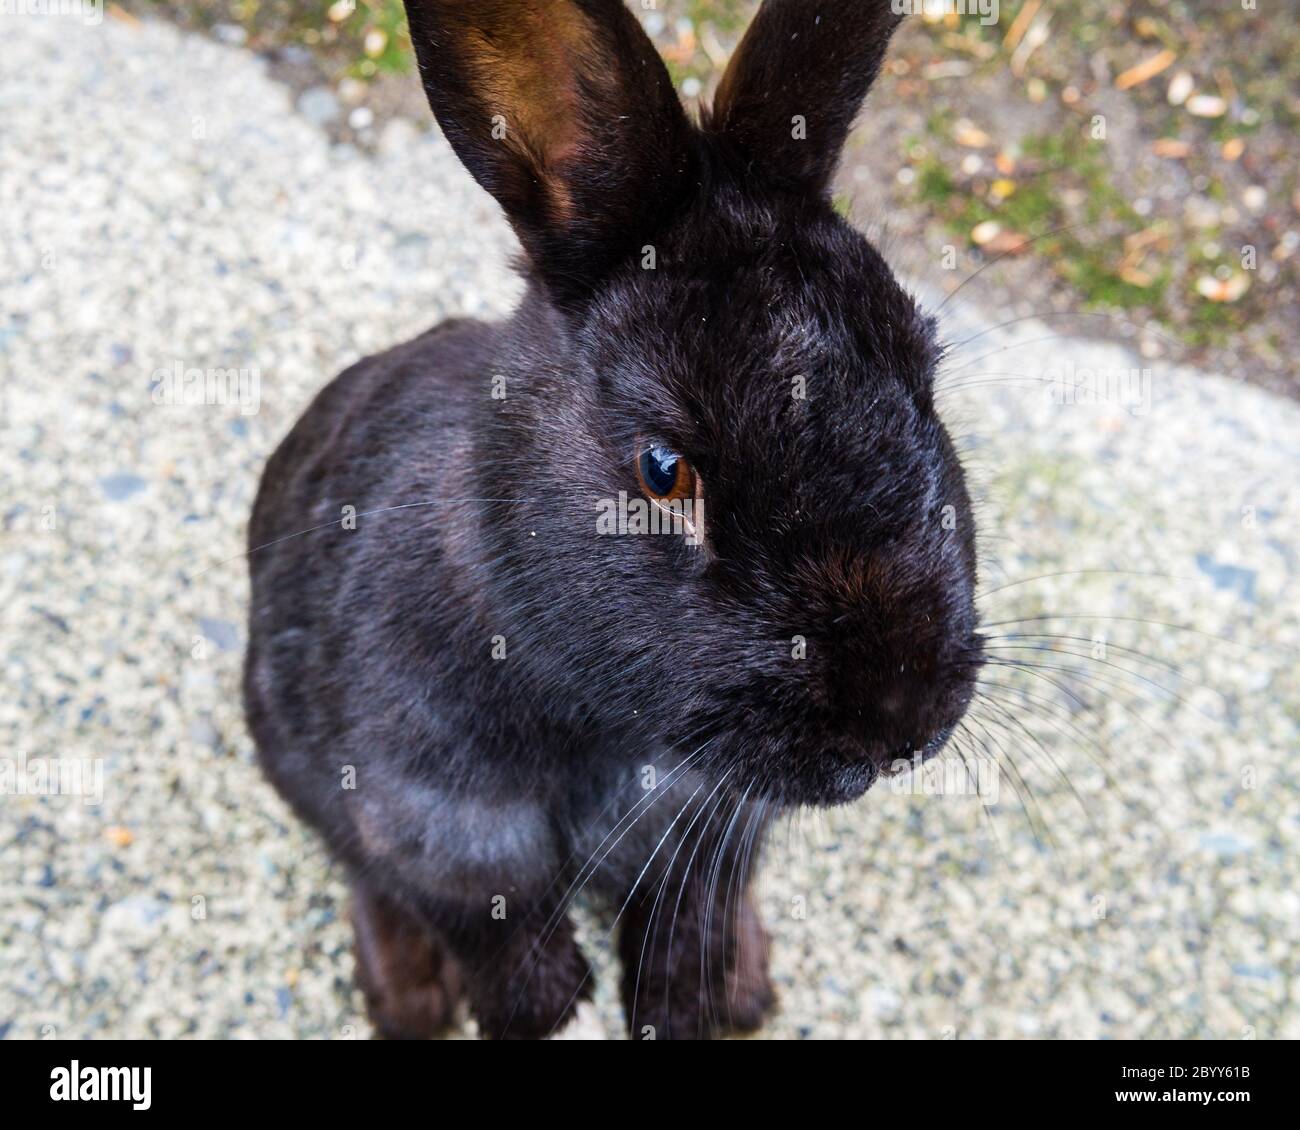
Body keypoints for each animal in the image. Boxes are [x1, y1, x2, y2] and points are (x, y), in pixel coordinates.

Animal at [244, 0, 977, 1040]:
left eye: (927, 378)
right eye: (663, 473)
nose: (904, 720)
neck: (614, 729)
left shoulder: (710, 833)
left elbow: (684, 936)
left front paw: (703, 1001)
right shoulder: (439, 830)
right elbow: (496, 939)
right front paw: (540, 1007)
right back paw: (408, 1000)